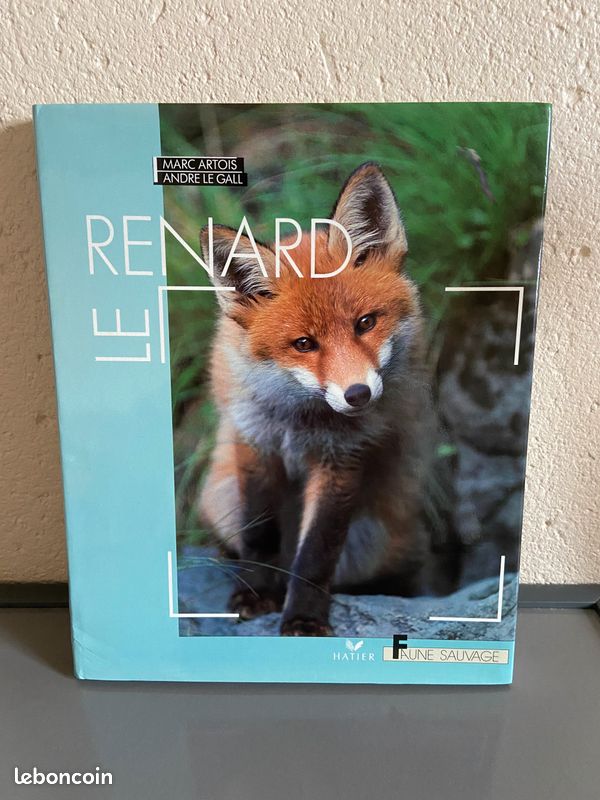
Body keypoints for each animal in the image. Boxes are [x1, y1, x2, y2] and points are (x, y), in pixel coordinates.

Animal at [198, 162, 431, 636]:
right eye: (304, 344)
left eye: (365, 323)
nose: (358, 394)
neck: (298, 418)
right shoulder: (254, 440)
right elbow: (260, 534)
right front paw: (255, 594)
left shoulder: (342, 458)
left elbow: (317, 552)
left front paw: (303, 617)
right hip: (221, 493)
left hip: (374, 539)